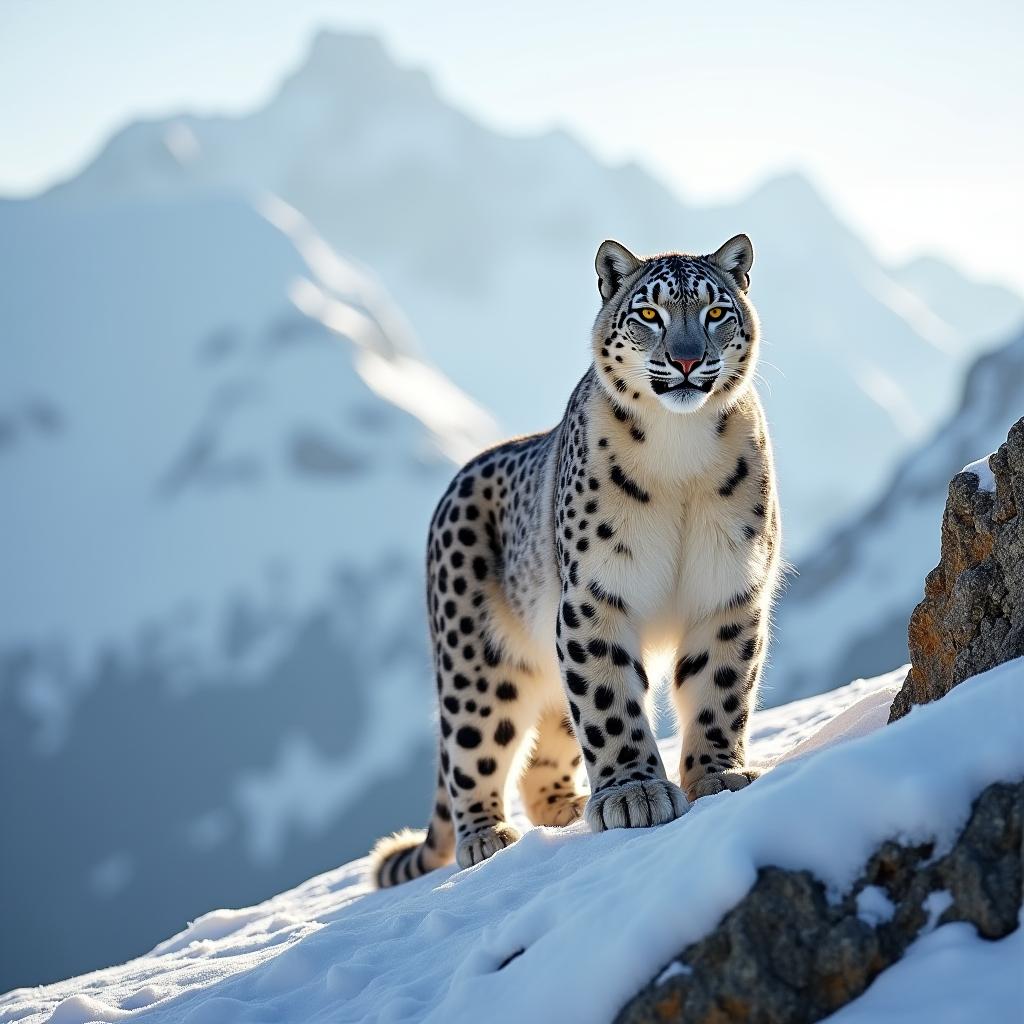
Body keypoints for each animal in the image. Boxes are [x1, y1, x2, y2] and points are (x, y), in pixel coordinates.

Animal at [372, 234, 778, 888]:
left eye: (716, 311)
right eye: (649, 314)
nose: (687, 361)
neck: (680, 453)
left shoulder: (729, 588)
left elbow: (719, 687)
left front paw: (718, 774)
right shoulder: (595, 596)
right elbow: (610, 704)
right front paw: (635, 794)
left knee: (548, 744)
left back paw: (565, 807)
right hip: (474, 662)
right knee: (473, 747)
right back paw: (488, 837)